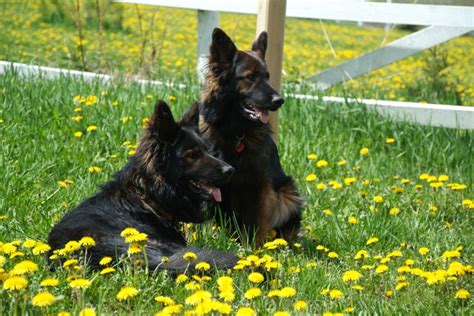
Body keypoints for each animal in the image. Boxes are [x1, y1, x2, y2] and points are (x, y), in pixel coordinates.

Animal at [182, 29, 304, 247]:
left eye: (267, 77)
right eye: (250, 77)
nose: (279, 101)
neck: (235, 132)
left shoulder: (259, 186)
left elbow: (256, 225)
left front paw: (252, 251)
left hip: (288, 193)